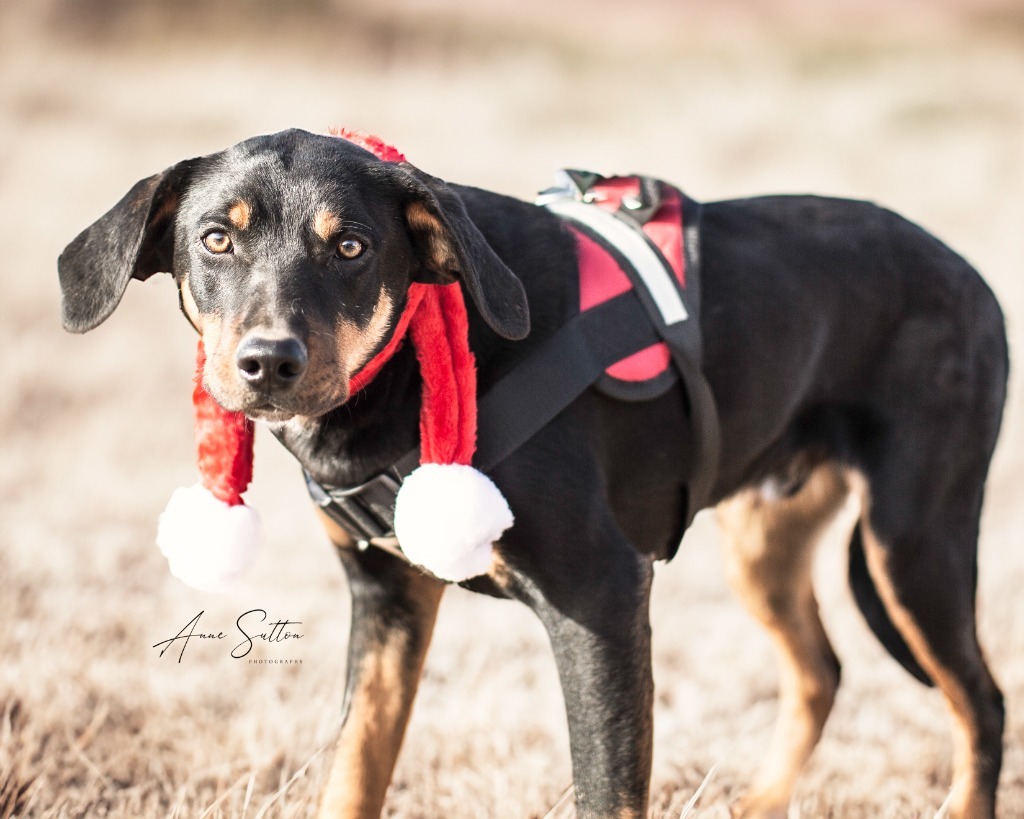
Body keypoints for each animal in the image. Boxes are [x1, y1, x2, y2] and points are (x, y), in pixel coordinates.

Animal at [61, 131, 1007, 814]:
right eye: (217, 238)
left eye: (353, 247)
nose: (268, 362)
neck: (422, 362)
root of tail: (973, 276)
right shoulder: (387, 601)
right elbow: (353, 771)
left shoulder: (602, 598)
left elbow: (607, 791)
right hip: (766, 543)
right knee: (820, 672)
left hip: (912, 541)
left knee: (981, 703)